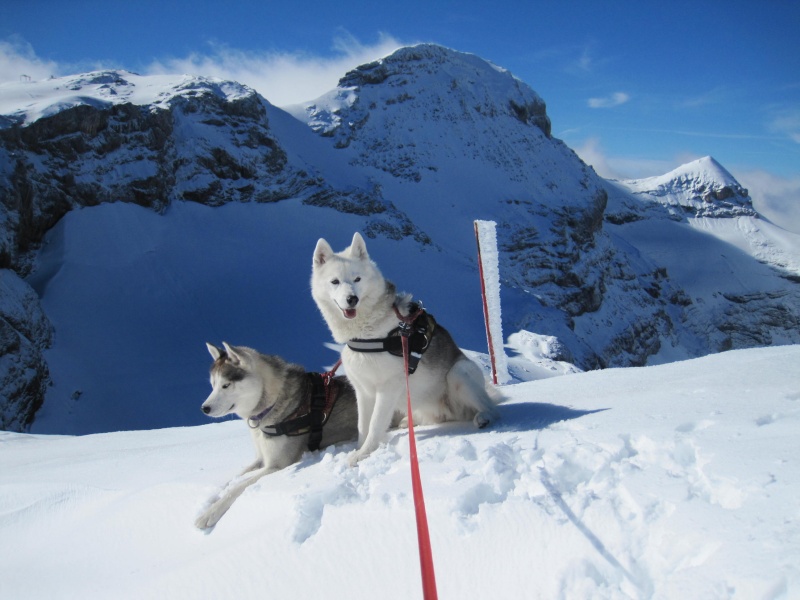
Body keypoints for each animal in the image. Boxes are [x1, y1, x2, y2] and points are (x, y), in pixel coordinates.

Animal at [195, 342, 358, 528]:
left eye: (226, 385)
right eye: (213, 384)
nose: (204, 408)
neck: (272, 402)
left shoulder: (276, 465)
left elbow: (239, 486)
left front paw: (209, 513)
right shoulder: (260, 458)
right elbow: (233, 479)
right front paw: (212, 496)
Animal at [310, 233, 504, 464]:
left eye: (357, 279)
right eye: (335, 281)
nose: (352, 299)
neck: (368, 333)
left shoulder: (387, 388)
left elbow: (375, 425)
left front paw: (363, 454)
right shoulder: (363, 391)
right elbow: (362, 426)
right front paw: (359, 450)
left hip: (459, 373)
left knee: (490, 407)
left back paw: (484, 417)